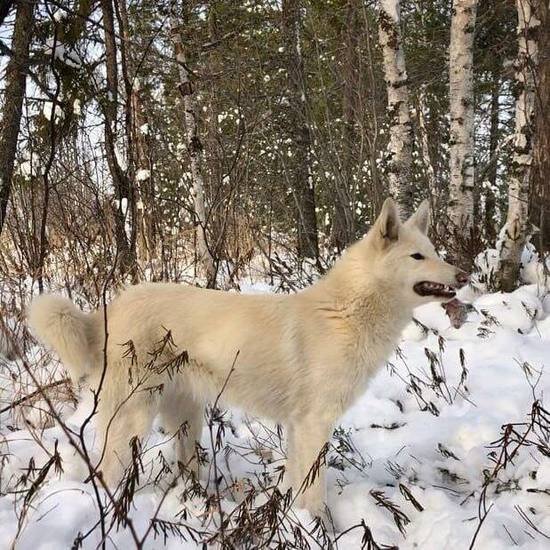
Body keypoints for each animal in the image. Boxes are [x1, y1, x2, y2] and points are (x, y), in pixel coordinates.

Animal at [27, 201, 470, 520]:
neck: (346, 312)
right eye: (417, 257)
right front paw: (318, 530)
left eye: (435, 253)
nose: (464, 276)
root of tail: (109, 310)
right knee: (108, 467)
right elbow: (314, 493)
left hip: (186, 416)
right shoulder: (314, 425)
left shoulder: (299, 428)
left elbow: (298, 484)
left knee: (183, 465)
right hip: (135, 415)